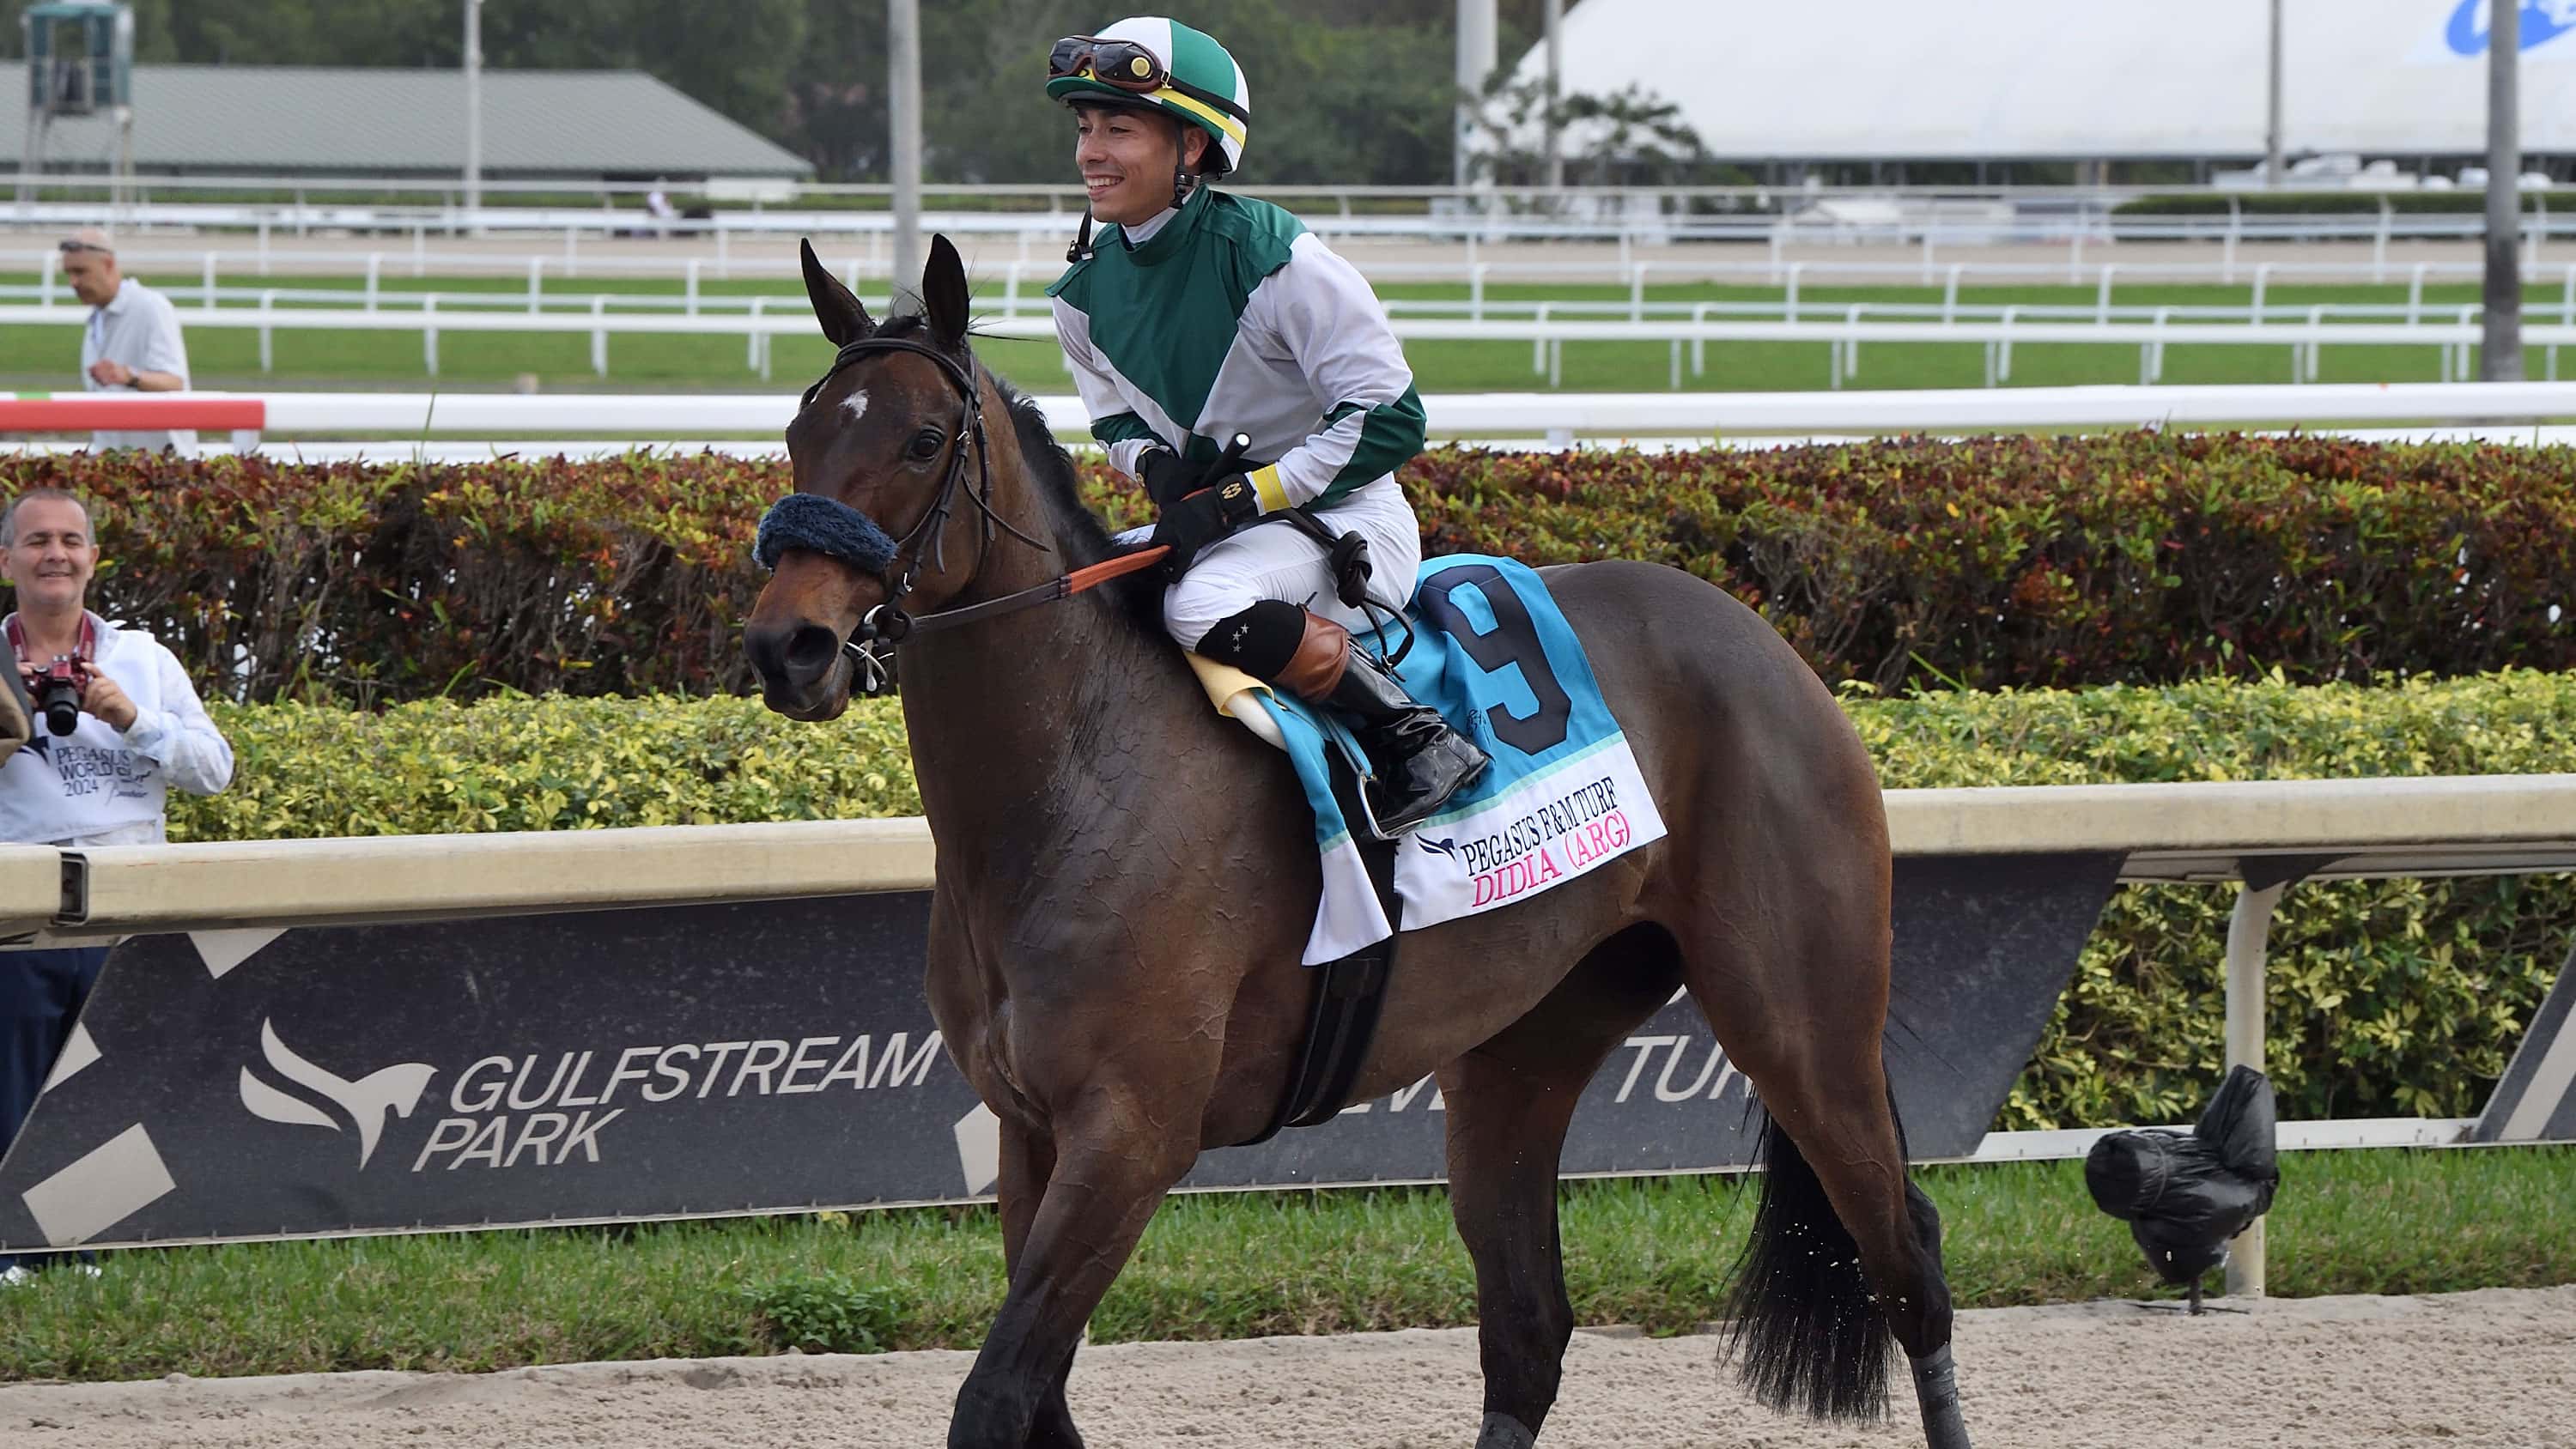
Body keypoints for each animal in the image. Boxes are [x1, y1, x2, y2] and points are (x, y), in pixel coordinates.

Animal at [743, 234, 1974, 1449]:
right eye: (801, 431)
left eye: (922, 438)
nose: (786, 646)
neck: (1075, 779)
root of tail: (1763, 640)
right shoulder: (1028, 1129)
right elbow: (1038, 1398)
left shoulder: (1132, 1133)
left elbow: (997, 1393)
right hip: (1526, 1043)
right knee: (1528, 1324)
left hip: (1802, 1020)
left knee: (1906, 1257)